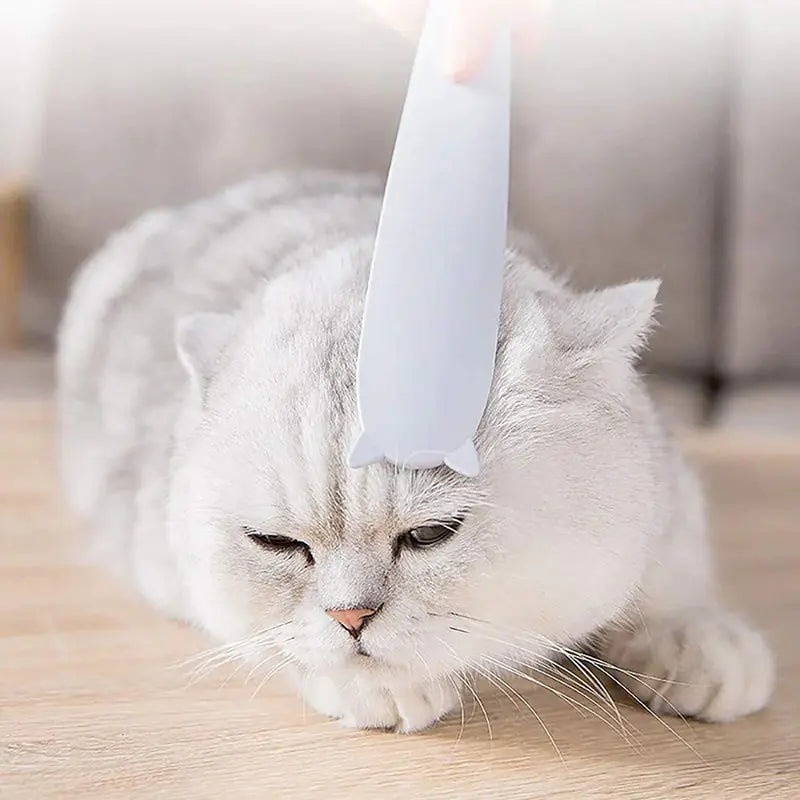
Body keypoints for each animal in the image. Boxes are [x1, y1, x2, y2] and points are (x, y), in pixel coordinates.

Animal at [57, 172, 776, 736]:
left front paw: (697, 639)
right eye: (277, 544)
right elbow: (280, 642)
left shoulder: (667, 483)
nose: (350, 618)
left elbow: (672, 568)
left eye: (431, 534)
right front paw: (376, 685)